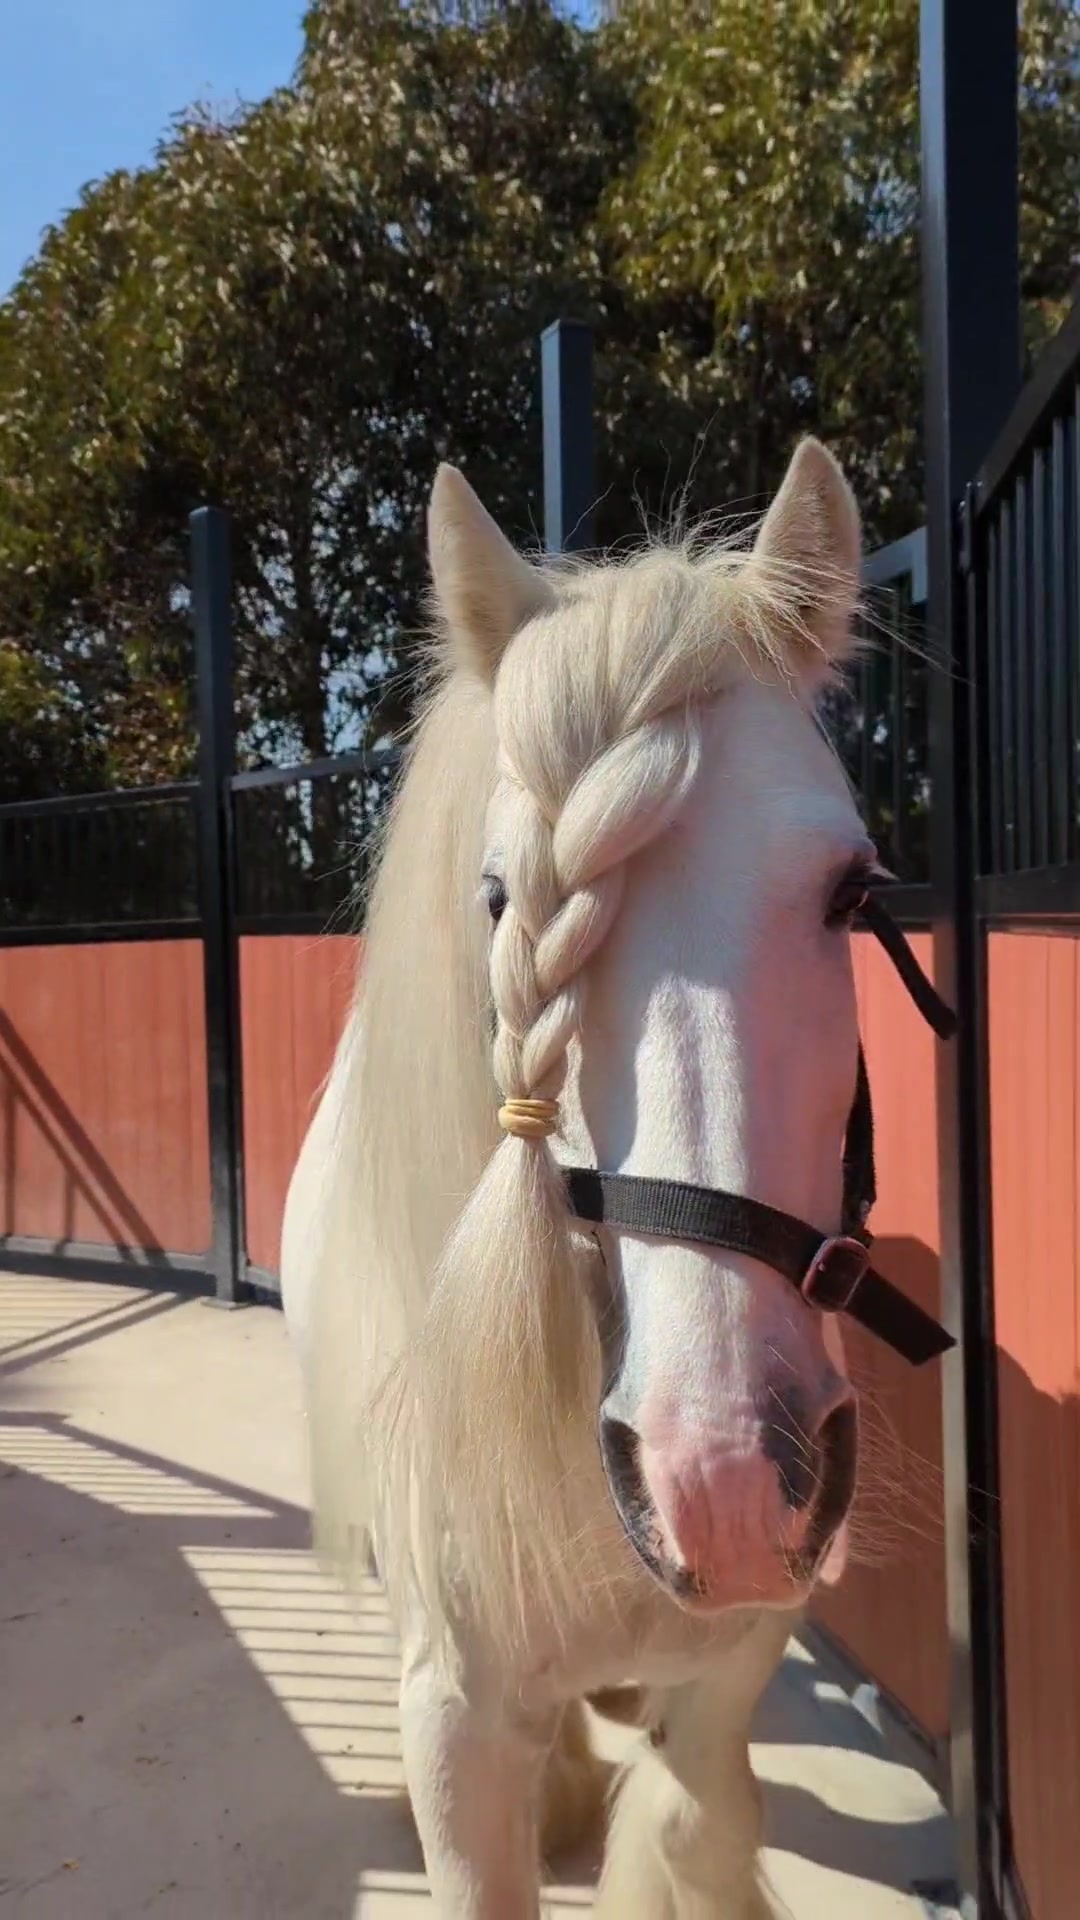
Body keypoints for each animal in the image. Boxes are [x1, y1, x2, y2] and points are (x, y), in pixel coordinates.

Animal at [281, 438, 889, 1918]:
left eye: (850, 892)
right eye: (503, 900)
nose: (725, 1476)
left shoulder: (734, 1659)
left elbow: (694, 1823)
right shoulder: (453, 1721)